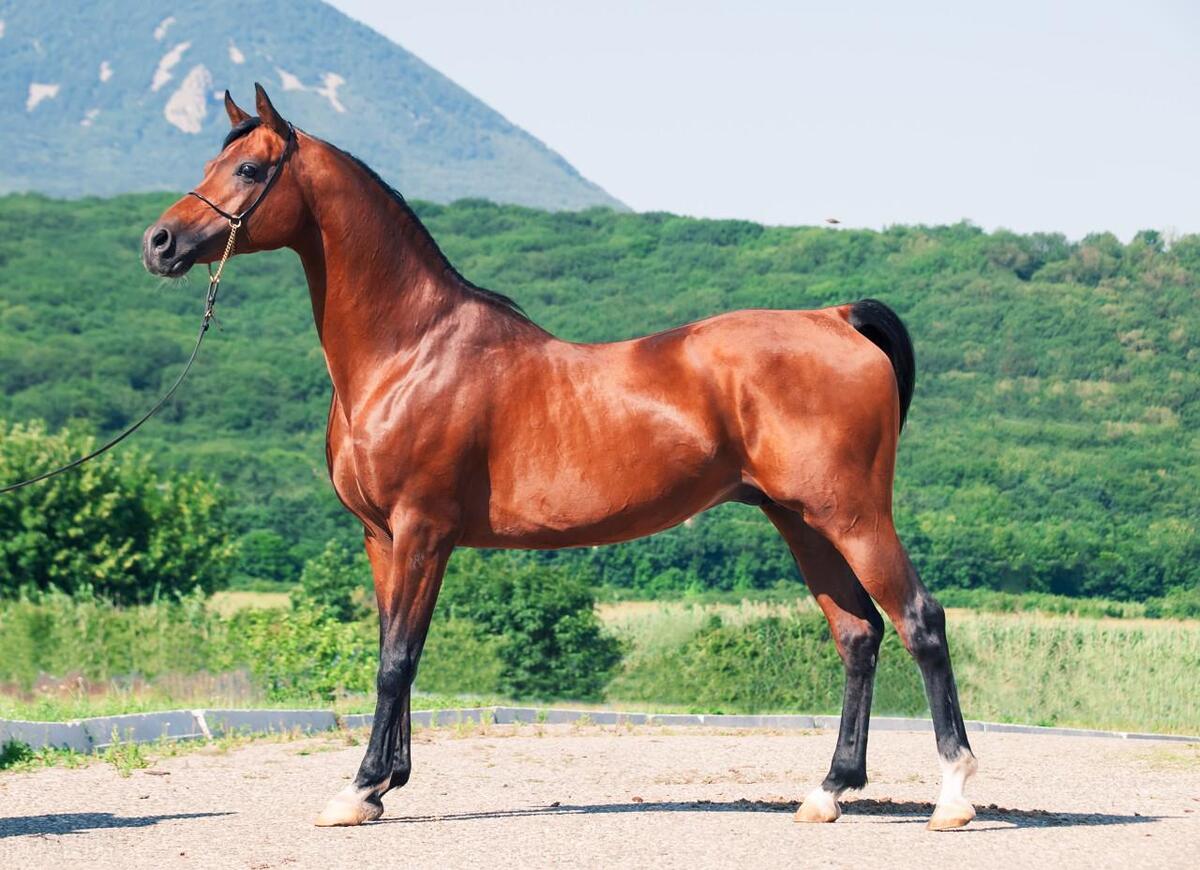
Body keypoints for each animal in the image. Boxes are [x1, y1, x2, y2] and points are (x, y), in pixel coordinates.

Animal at [142, 84, 978, 831]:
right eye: (215, 159)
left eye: (251, 169)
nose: (158, 244)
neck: (410, 349)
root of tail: (834, 318)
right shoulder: (380, 537)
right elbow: (394, 652)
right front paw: (383, 784)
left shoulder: (421, 532)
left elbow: (397, 661)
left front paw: (357, 792)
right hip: (801, 520)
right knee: (858, 635)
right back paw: (828, 791)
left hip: (853, 516)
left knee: (920, 621)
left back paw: (953, 798)